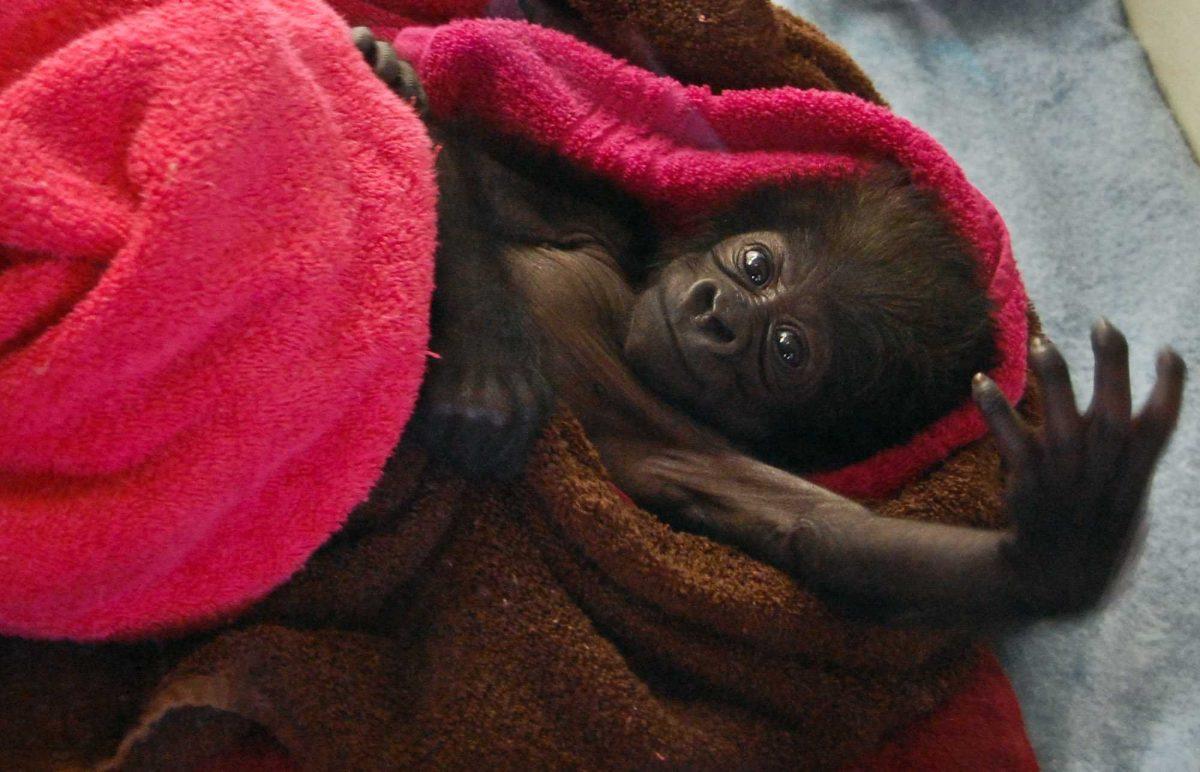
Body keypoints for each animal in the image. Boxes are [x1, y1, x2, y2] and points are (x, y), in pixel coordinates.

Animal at [352, 31, 1180, 633]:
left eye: (786, 350)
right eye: (755, 264)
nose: (718, 314)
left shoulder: (698, 450)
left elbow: (824, 536)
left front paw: (1063, 540)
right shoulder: (597, 219)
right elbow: (471, 163)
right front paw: (487, 360)